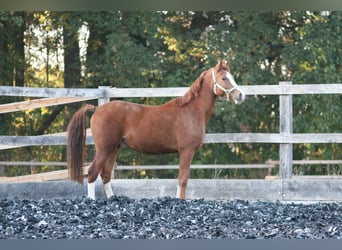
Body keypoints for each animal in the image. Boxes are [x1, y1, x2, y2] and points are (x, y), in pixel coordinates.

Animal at [65, 60, 244, 199]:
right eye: (224, 78)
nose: (241, 95)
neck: (191, 111)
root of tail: (97, 109)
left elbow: (180, 179)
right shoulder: (186, 150)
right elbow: (183, 179)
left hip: (114, 148)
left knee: (106, 175)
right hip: (104, 148)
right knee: (92, 172)